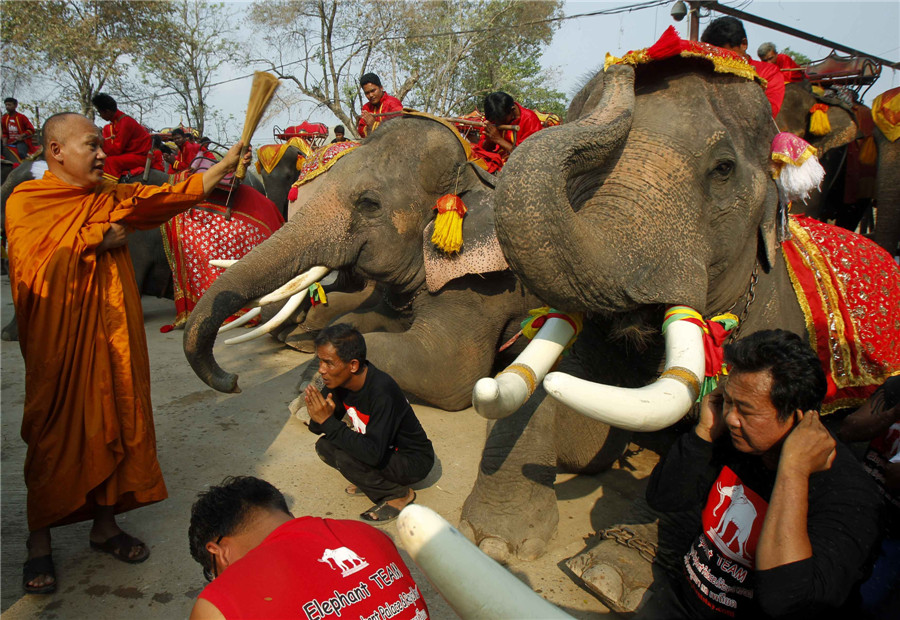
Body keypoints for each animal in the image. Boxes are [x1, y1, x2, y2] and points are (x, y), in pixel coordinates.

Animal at [185, 112, 540, 412]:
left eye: (368, 204)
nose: (233, 381)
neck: (472, 174)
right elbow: (358, 318)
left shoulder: (480, 285)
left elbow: (449, 371)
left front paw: (310, 395)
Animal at [460, 52, 896, 560]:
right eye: (582, 171)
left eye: (723, 168)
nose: (621, 69)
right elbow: (571, 417)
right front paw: (489, 541)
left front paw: (609, 568)